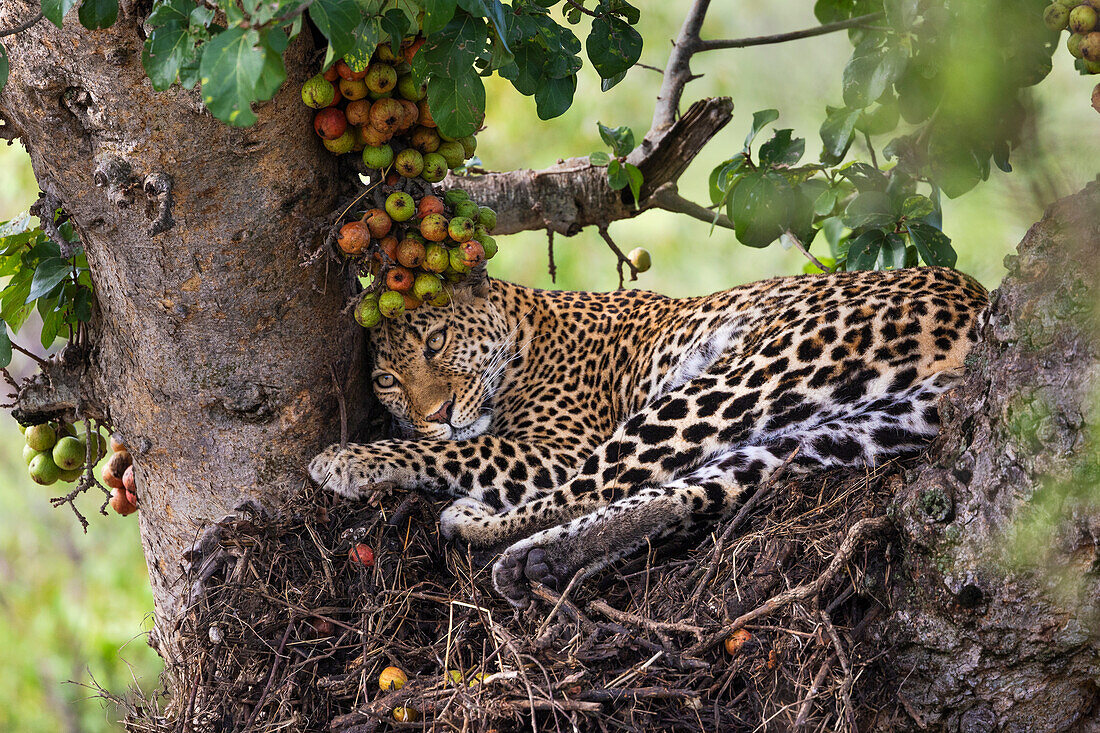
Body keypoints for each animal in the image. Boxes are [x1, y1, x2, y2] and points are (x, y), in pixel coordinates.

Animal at [308, 263, 990, 603]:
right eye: (388, 380)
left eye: (436, 341)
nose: (438, 410)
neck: (526, 328)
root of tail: (978, 304)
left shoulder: (557, 448)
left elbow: (459, 449)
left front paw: (348, 459)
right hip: (853, 427)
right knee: (688, 489)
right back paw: (538, 558)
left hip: (752, 372)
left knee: (598, 485)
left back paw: (478, 524)